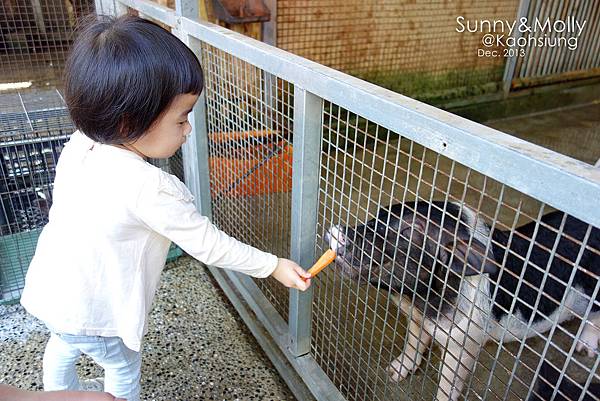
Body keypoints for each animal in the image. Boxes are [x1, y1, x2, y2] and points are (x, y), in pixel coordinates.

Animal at [328, 200, 600, 400]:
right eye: (377, 217)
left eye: (409, 230)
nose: (337, 231)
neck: (421, 300)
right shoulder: (416, 318)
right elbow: (413, 343)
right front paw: (393, 373)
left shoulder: (466, 340)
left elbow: (449, 379)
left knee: (594, 318)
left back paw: (583, 349)